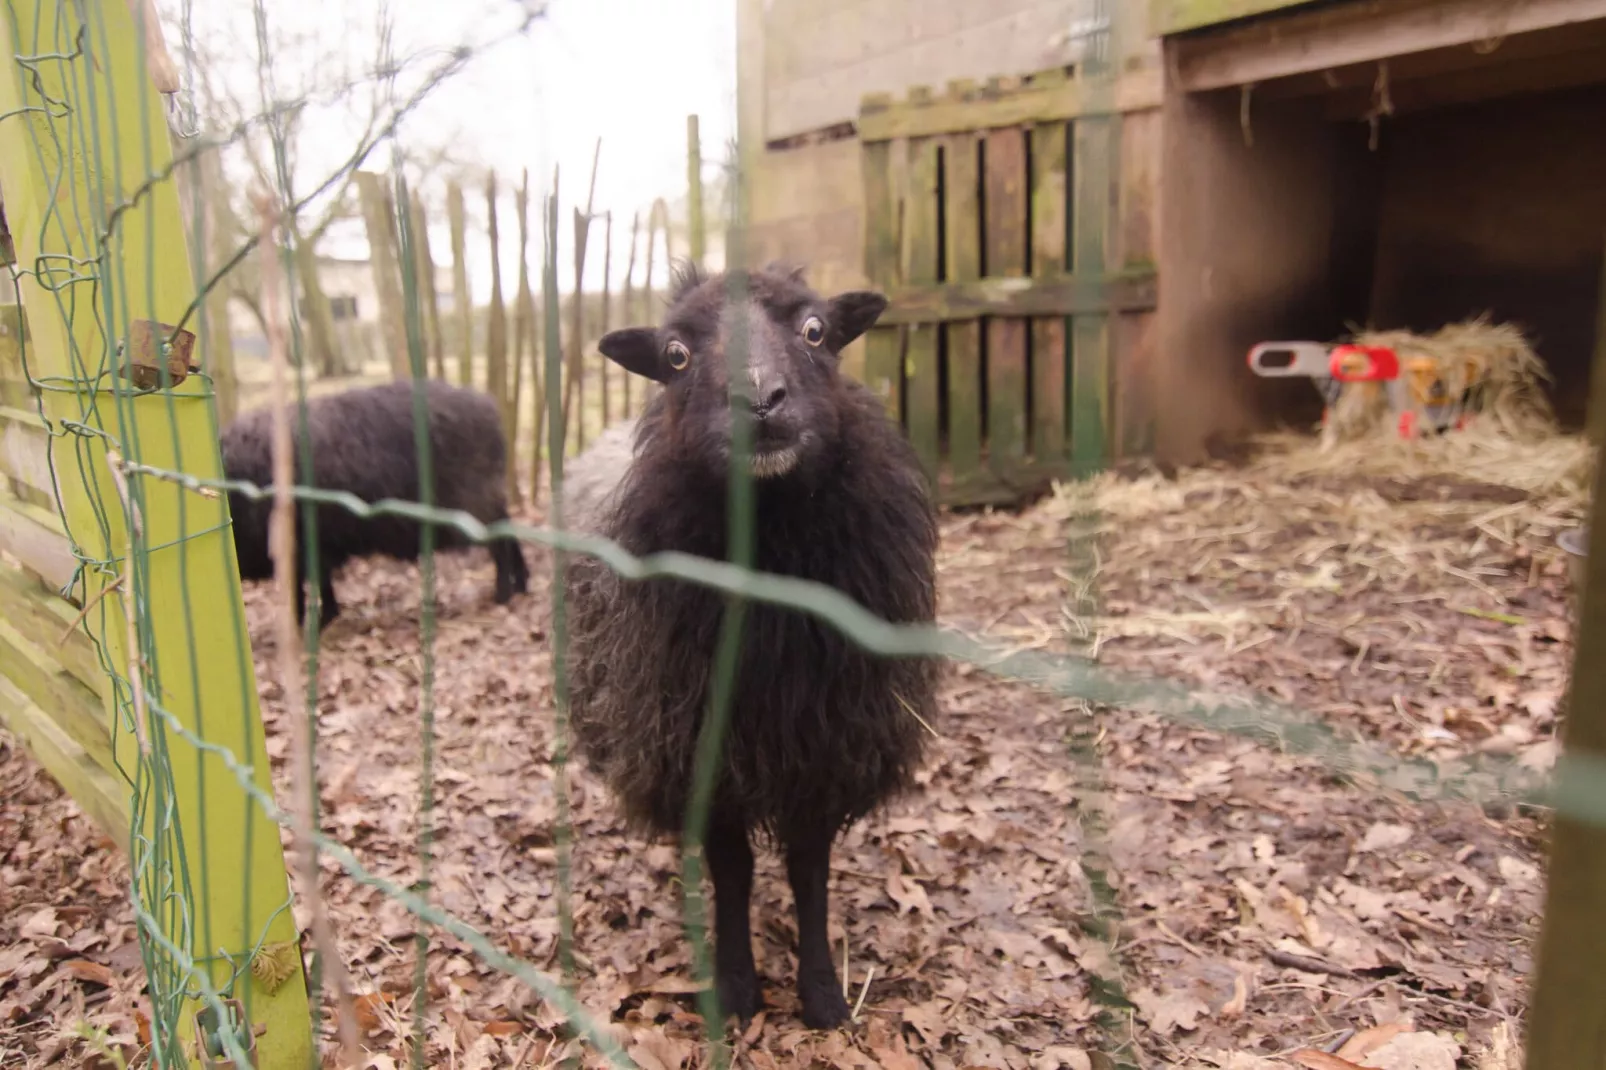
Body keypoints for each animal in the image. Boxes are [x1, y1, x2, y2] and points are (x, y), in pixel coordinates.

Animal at [220, 377, 529, 620]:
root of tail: (489, 409)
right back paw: (521, 587)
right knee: (510, 537)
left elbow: (306, 588)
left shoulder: (302, 547)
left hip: (477, 507)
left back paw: (501, 596)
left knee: (501, 546)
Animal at [562, 258, 937, 1028]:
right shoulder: (700, 744)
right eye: (675, 355)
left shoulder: (825, 745)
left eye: (816, 330)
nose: (759, 400)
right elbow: (732, 872)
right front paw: (736, 988)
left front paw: (821, 992)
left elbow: (808, 872)